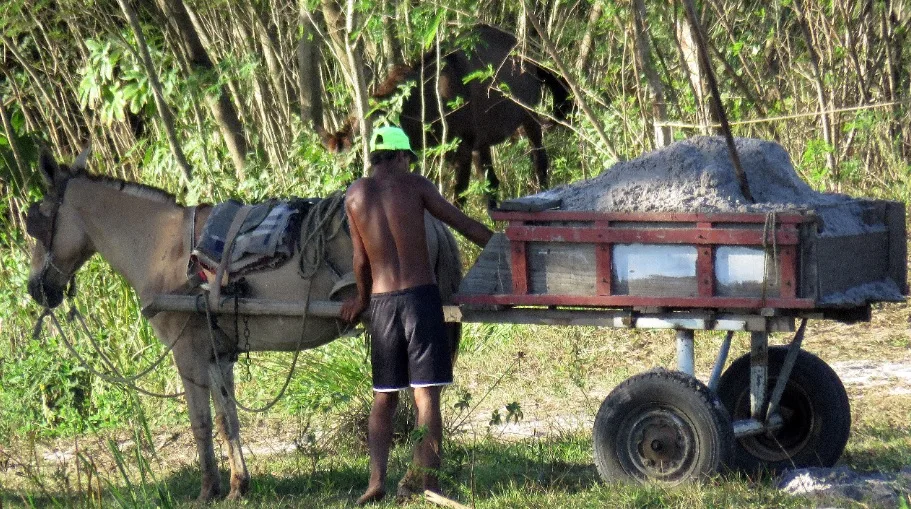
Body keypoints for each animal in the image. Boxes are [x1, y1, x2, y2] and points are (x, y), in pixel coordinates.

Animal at [25, 151, 464, 500]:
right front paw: (238, 485)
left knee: (424, 396)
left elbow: (200, 422)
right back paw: (422, 481)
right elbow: (227, 420)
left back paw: (413, 481)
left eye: (37, 221)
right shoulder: (217, 354)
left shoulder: (187, 353)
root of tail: (432, 222)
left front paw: (208, 490)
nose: (36, 289)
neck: (164, 249)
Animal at [324, 23, 572, 206]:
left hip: (530, 121)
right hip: (482, 144)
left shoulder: (462, 150)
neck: (427, 100)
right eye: (336, 164)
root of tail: (529, 60)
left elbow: (458, 197)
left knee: (540, 163)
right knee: (491, 183)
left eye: (358, 157)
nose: (346, 194)